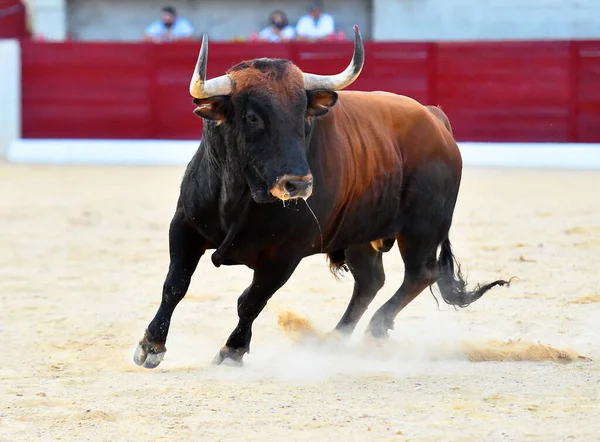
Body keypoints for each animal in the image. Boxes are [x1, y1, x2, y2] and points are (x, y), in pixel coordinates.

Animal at [134, 26, 508, 370]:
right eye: (253, 117)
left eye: (303, 115)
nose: (297, 184)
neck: (241, 194)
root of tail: (435, 119)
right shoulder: (184, 227)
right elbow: (175, 285)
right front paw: (151, 345)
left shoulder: (284, 255)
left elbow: (252, 300)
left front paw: (232, 351)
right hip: (360, 235)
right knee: (371, 281)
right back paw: (334, 339)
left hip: (422, 230)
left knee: (419, 274)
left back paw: (373, 330)